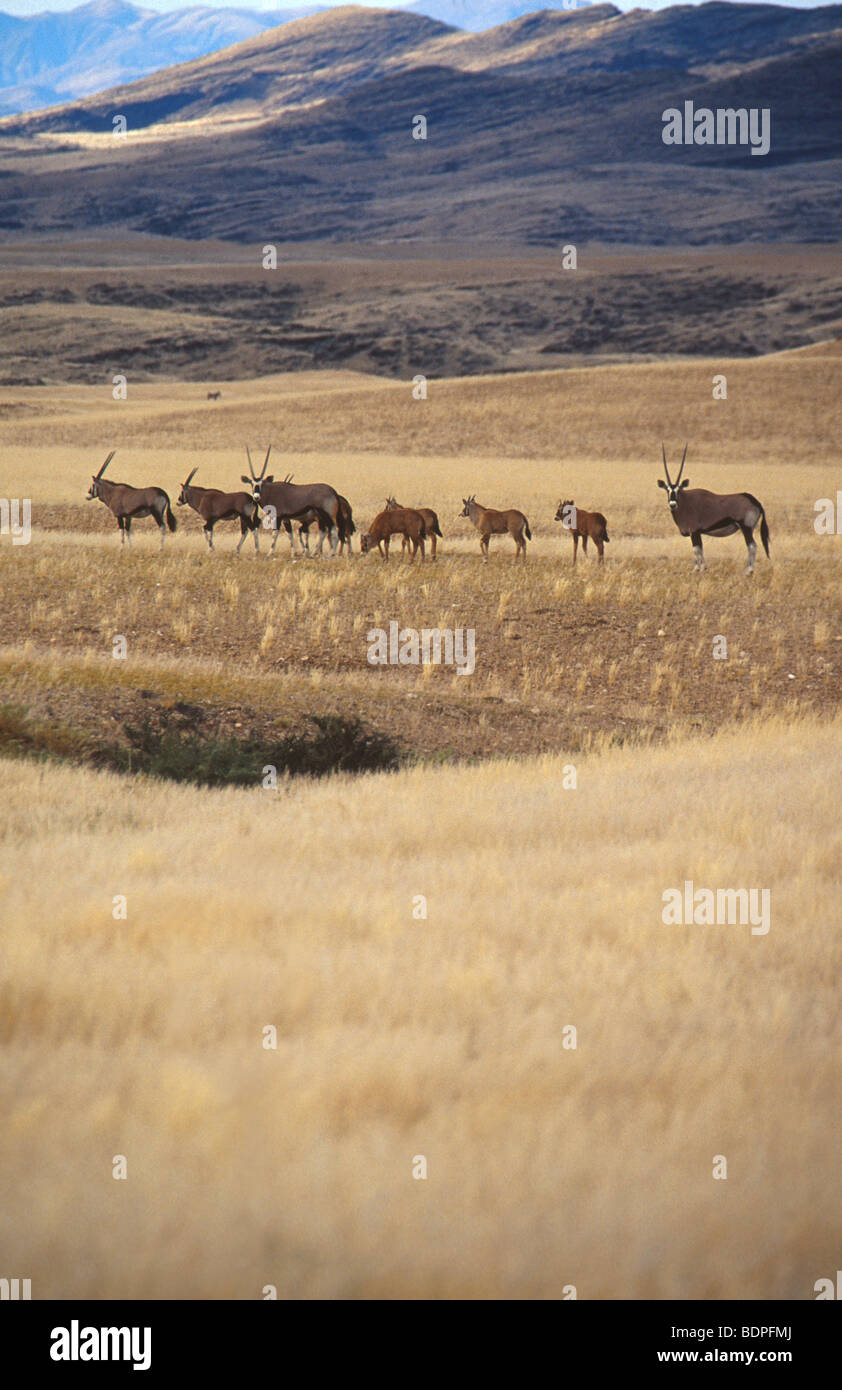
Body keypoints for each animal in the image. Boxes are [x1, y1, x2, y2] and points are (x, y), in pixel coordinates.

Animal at [661, 444, 772, 575]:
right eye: (667, 490)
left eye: (678, 490)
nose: (672, 504)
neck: (685, 502)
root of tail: (755, 501)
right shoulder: (697, 533)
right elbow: (700, 549)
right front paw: (702, 568)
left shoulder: (694, 531)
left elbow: (696, 549)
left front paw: (697, 569)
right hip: (750, 528)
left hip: (746, 528)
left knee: (752, 546)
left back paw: (749, 571)